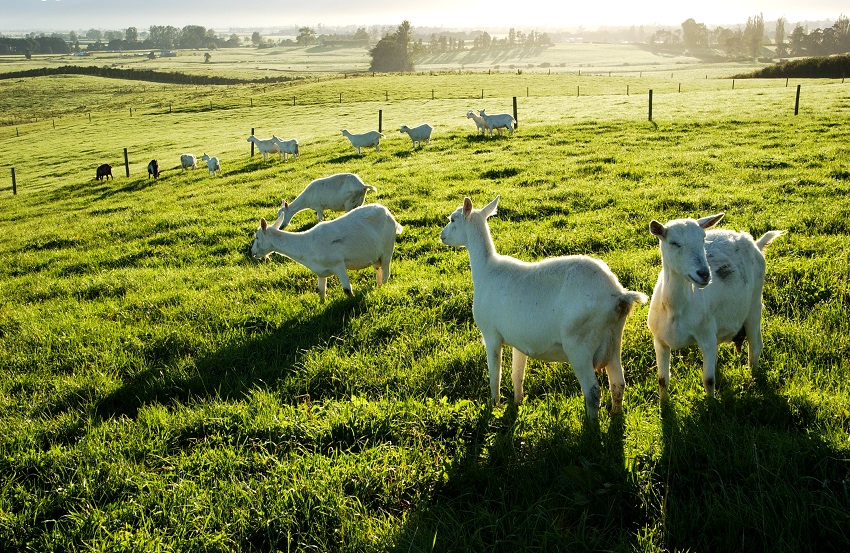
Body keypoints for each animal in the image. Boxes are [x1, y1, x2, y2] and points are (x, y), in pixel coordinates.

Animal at [250, 203, 402, 300]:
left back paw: (383, 286)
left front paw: (352, 302)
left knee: (386, 271)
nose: (252, 252)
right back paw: (378, 286)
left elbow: (347, 289)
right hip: (375, 254)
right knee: (378, 269)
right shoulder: (320, 271)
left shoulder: (338, 264)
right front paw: (322, 304)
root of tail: (389, 214)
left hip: (388, 246)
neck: (307, 244)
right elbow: (321, 291)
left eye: (257, 237)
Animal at [440, 196, 644, 416]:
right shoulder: (518, 340)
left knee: (592, 391)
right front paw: (517, 403)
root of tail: (619, 295)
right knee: (618, 383)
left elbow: (495, 376)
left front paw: (495, 406)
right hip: (614, 340)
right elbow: (517, 375)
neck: (486, 269)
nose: (442, 236)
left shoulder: (491, 334)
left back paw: (592, 423)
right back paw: (616, 414)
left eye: (452, 219)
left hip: (579, 344)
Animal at [648, 212, 780, 402]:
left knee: (755, 346)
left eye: (703, 239)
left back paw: (753, 379)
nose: (704, 274)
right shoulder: (659, 341)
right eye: (674, 243)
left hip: (755, 304)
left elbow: (708, 380)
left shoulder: (706, 337)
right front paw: (663, 404)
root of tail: (754, 242)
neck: (676, 308)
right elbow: (662, 380)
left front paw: (712, 405)